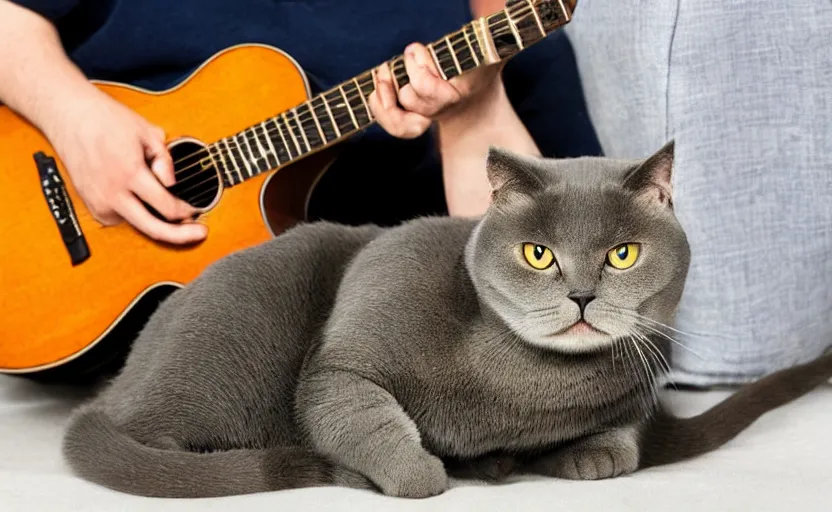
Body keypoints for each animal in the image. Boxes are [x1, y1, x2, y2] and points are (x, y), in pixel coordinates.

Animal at [63, 142, 832, 498]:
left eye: (622, 254)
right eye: (539, 254)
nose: (583, 296)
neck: (526, 391)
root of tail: (114, 389)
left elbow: (620, 445)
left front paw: (581, 454)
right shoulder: (346, 358)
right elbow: (364, 414)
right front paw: (419, 472)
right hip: (234, 341)